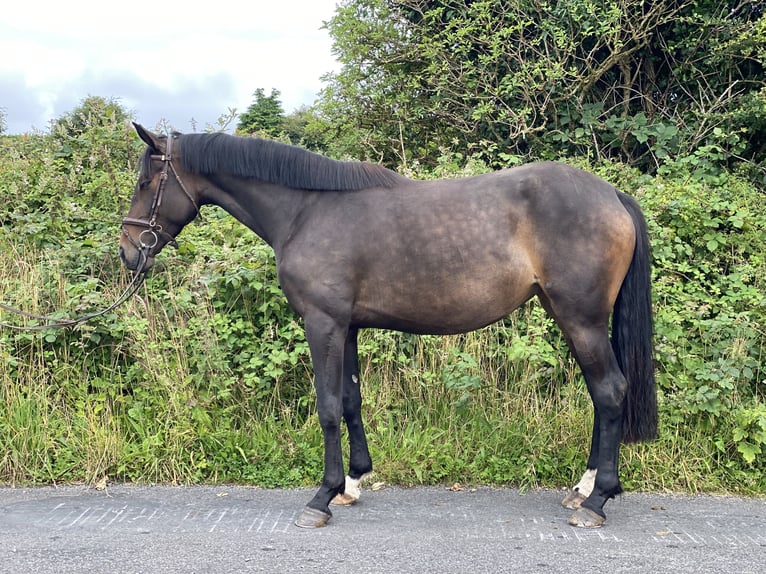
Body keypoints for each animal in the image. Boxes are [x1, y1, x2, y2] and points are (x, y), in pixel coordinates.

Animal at [121, 124, 660, 532]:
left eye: (147, 182)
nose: (129, 251)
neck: (307, 209)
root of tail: (612, 194)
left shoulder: (323, 323)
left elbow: (327, 407)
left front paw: (321, 497)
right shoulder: (347, 326)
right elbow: (350, 400)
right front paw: (353, 483)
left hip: (581, 319)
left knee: (609, 391)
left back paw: (596, 502)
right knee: (600, 396)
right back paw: (582, 490)